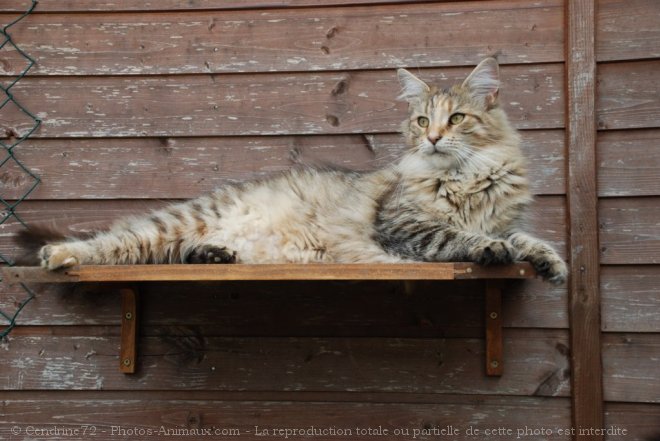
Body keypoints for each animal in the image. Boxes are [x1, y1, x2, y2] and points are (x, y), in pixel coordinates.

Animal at [21, 58, 568, 284]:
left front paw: (550, 262)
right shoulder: (404, 228)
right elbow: (459, 237)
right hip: (162, 227)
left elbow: (526, 239)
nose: (432, 138)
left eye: (456, 119)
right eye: (421, 121)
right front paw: (488, 250)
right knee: (108, 242)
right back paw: (60, 254)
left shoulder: (505, 220)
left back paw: (216, 254)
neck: (466, 179)